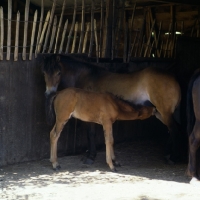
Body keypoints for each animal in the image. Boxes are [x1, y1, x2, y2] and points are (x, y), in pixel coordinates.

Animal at [42, 54, 183, 165]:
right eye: (44, 73)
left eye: (58, 73)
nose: (50, 93)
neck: (87, 77)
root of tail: (173, 79)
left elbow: (91, 134)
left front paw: (91, 157)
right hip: (159, 113)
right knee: (173, 128)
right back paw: (167, 154)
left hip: (164, 112)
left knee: (174, 129)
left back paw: (173, 157)